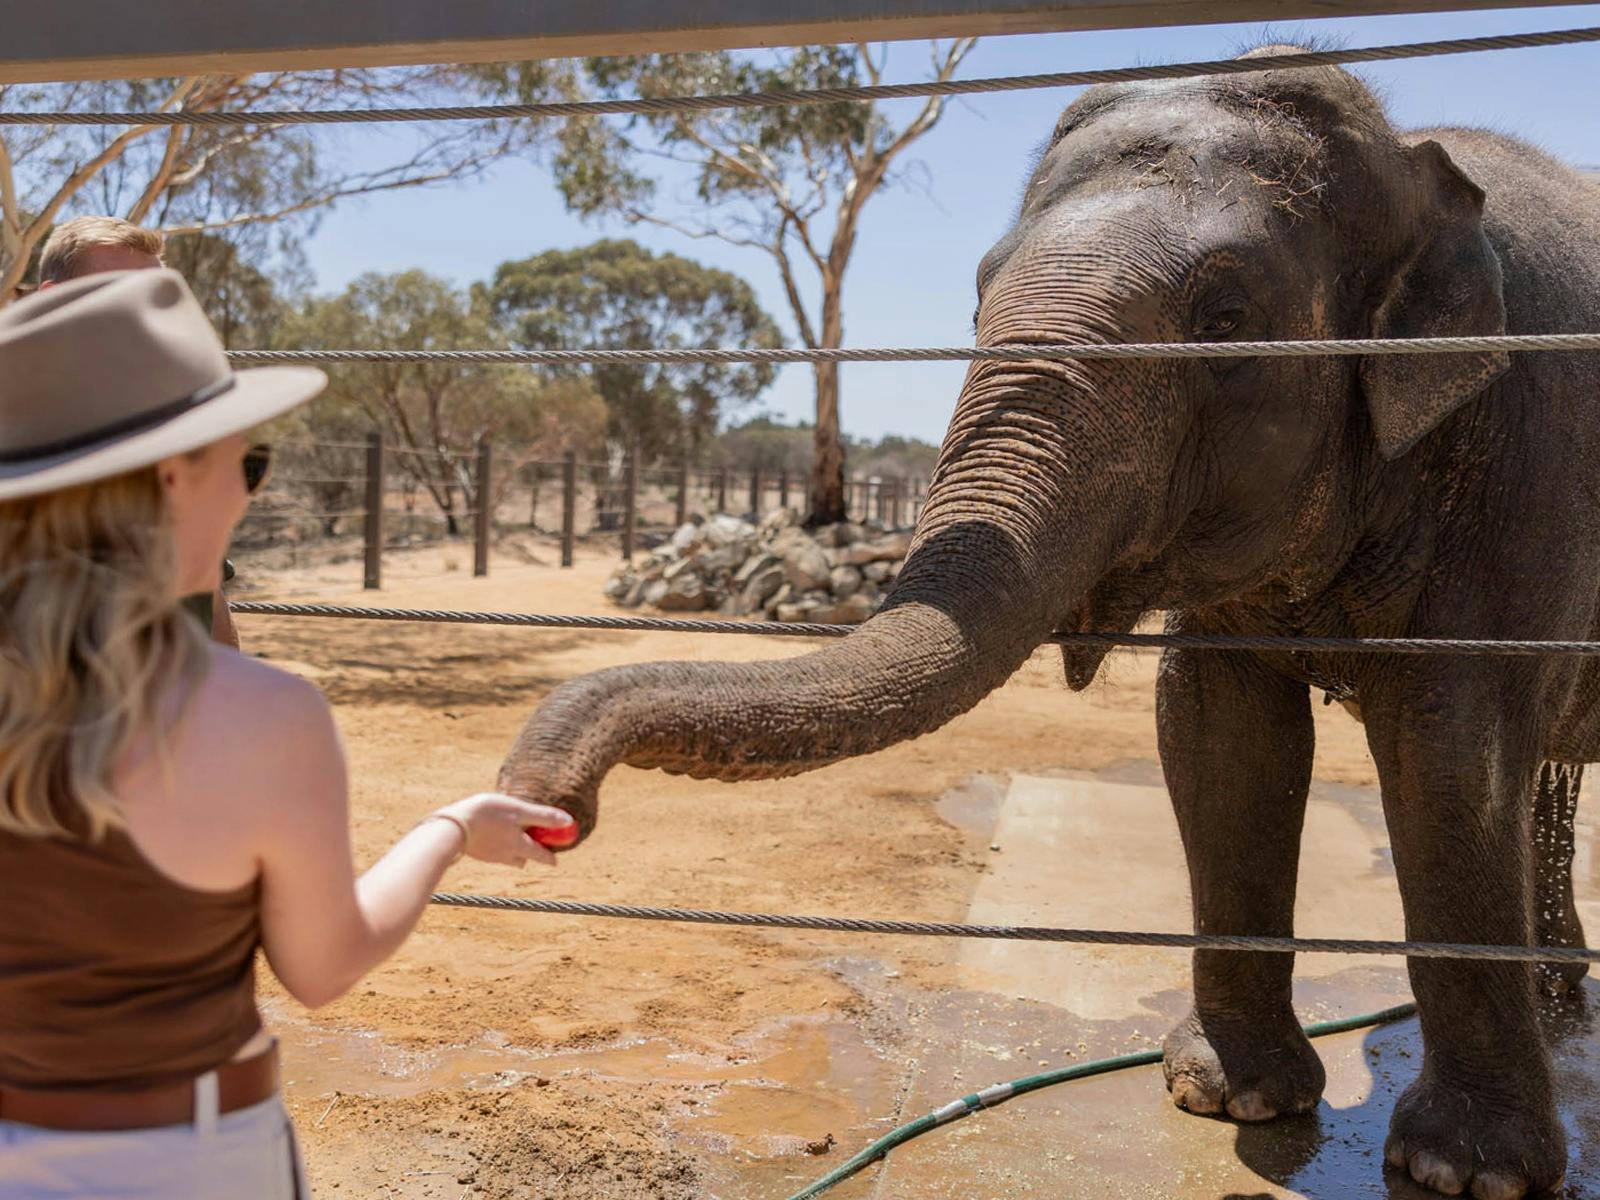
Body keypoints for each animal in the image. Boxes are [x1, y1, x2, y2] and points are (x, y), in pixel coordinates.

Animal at [499, 47, 1600, 1199]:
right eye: (979, 291)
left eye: (1224, 318)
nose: (550, 806)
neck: (1407, 159)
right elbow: (1219, 736)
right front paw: (1228, 1100)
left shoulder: (1535, 452)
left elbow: (1449, 751)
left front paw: (1463, 1174)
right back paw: (1561, 1000)